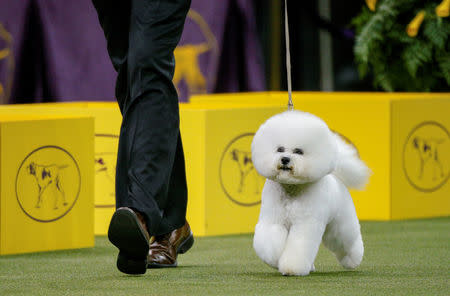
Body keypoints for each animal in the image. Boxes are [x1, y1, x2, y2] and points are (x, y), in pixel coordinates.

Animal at [251, 110, 370, 276]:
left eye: (298, 151)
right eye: (280, 149)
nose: (285, 159)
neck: (291, 188)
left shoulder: (305, 224)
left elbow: (299, 245)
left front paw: (291, 268)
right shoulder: (273, 219)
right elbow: (269, 240)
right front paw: (275, 259)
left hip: (339, 224)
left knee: (346, 241)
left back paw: (353, 260)